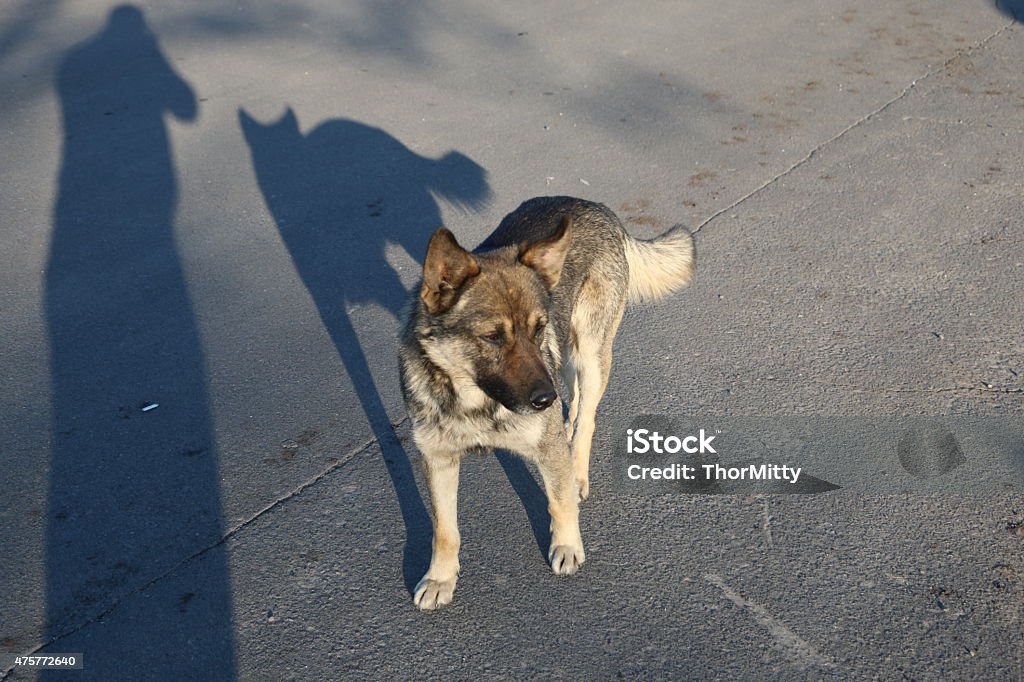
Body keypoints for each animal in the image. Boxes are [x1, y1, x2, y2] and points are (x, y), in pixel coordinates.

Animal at [395, 193, 692, 606]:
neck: (477, 401)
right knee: (576, 400)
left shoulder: (545, 441)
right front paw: (440, 578)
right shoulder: (438, 460)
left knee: (587, 418)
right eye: (492, 337)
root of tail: (593, 206)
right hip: (565, 356)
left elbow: (559, 500)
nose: (545, 400)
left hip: (588, 352)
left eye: (537, 328)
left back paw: (577, 469)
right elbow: (445, 530)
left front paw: (567, 545)